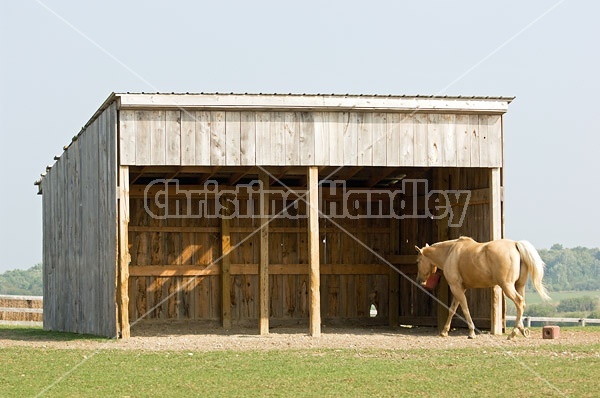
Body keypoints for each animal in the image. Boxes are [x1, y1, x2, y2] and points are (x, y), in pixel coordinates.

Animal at [414, 236, 552, 338]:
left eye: (418, 261)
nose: (419, 280)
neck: (450, 253)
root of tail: (515, 244)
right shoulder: (460, 288)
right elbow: (452, 309)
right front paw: (444, 331)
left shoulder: (456, 288)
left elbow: (464, 309)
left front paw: (471, 332)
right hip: (519, 285)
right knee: (521, 304)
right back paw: (521, 330)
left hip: (507, 286)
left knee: (519, 301)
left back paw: (513, 333)